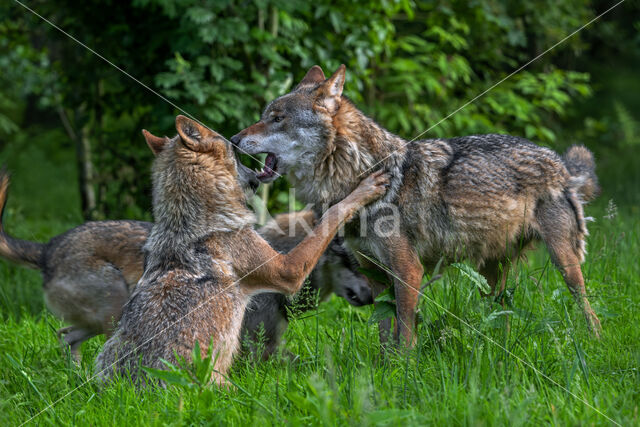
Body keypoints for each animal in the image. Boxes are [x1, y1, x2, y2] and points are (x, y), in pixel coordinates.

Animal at [92, 115, 388, 386]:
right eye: (235, 154)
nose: (256, 176)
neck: (187, 221)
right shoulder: (287, 272)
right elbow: (333, 214)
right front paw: (365, 189)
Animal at [232, 64, 604, 348]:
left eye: (277, 118)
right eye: (265, 116)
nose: (234, 140)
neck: (360, 170)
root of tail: (560, 163)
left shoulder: (409, 270)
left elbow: (407, 331)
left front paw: (405, 370)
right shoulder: (374, 274)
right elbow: (385, 329)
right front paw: (385, 369)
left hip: (565, 264)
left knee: (588, 308)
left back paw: (594, 344)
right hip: (491, 275)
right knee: (502, 315)